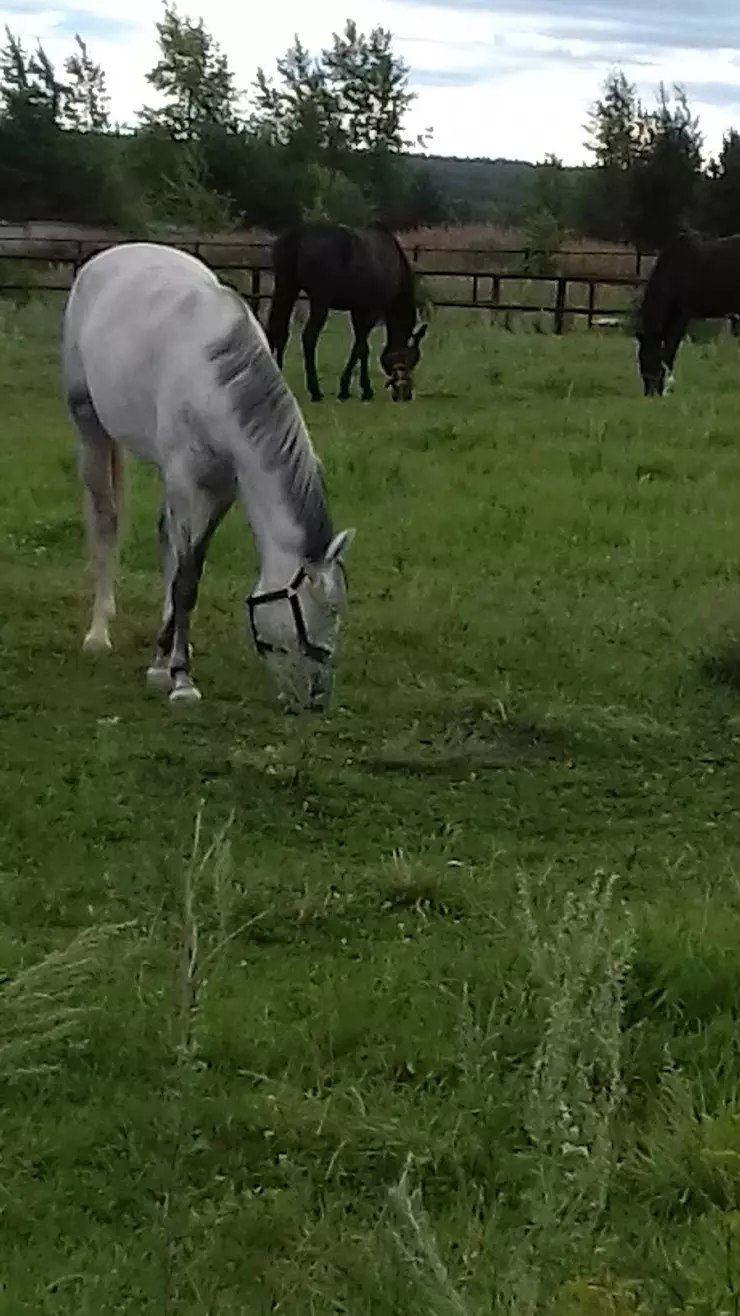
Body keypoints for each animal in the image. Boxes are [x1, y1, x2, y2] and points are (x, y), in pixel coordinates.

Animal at [60, 240, 355, 705]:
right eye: (309, 612)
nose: (316, 695)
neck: (211, 381)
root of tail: (105, 258)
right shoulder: (187, 479)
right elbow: (186, 579)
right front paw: (182, 679)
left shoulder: (220, 487)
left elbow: (188, 567)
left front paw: (164, 661)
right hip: (89, 426)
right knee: (106, 520)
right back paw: (98, 634)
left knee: (164, 536)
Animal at [264, 221, 426, 400]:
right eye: (410, 360)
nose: (406, 394)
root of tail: (299, 235)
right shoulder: (369, 311)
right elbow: (361, 348)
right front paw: (358, 389)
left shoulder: (358, 310)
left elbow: (361, 348)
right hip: (320, 298)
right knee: (309, 337)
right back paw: (315, 391)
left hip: (286, 287)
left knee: (278, 330)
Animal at [634, 231, 740, 394]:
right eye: (641, 360)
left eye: (653, 359)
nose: (650, 393)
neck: (673, 270)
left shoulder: (680, 316)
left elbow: (670, 350)